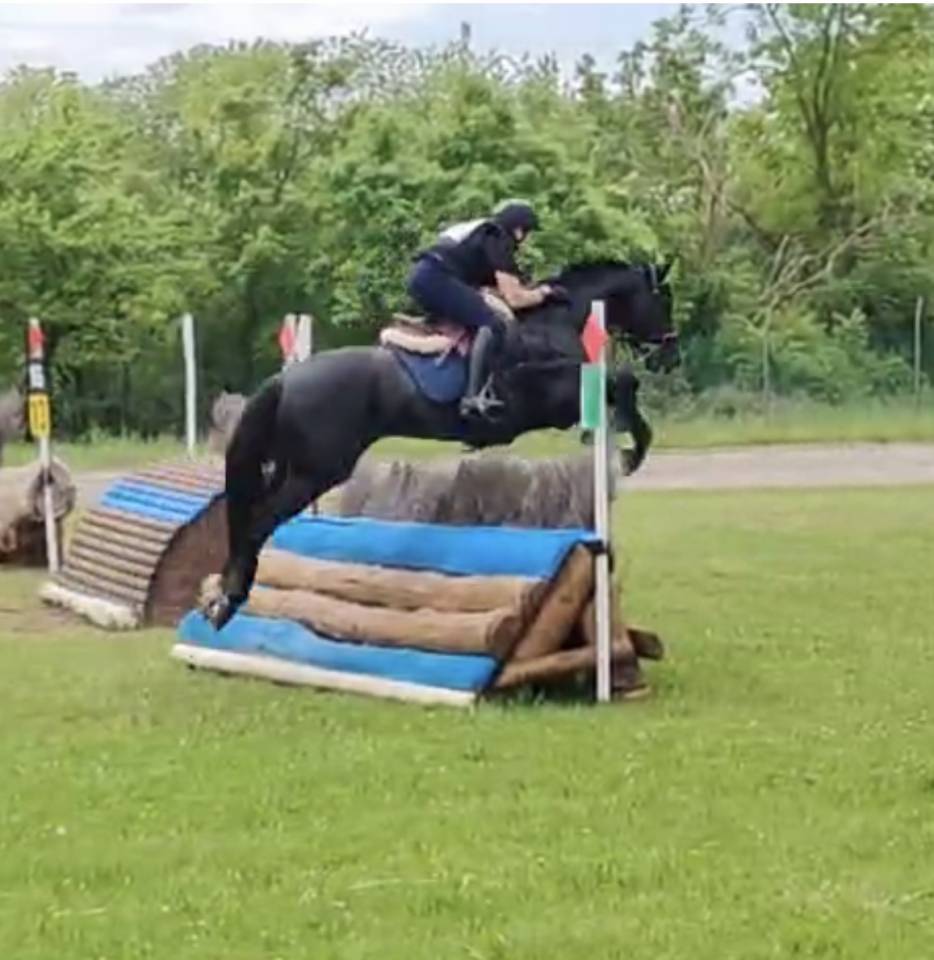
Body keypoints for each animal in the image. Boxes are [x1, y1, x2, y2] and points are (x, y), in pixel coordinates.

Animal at [203, 258, 679, 630]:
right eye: (664, 300)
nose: (670, 357)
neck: (551, 326)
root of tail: (286, 379)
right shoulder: (554, 396)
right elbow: (623, 381)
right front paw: (631, 450)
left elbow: (621, 384)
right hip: (316, 471)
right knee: (260, 522)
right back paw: (228, 601)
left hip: (290, 465)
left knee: (249, 517)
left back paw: (221, 596)